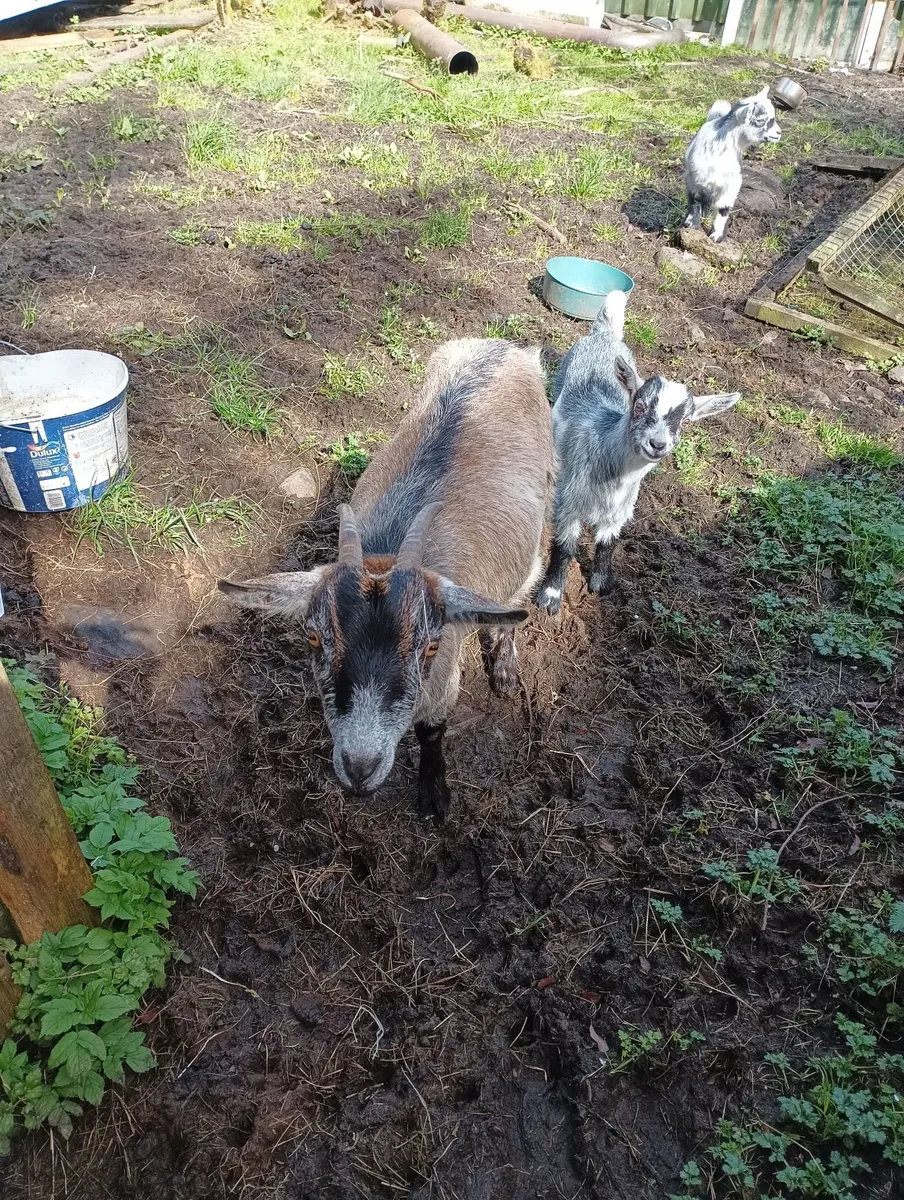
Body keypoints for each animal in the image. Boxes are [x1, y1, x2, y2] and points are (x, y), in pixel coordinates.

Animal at [219, 339, 554, 820]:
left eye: (430, 645)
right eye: (314, 638)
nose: (360, 768)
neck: (390, 549)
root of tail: (506, 346)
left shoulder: (442, 677)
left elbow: (432, 731)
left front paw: (433, 795)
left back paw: (505, 667)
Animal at [536, 291, 739, 615]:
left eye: (685, 422)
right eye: (640, 406)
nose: (658, 444)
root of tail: (605, 334)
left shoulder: (620, 511)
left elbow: (607, 543)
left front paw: (601, 586)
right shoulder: (569, 501)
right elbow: (564, 547)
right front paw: (550, 597)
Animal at [684, 86, 781, 243]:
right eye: (764, 120)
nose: (779, 132)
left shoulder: (731, 185)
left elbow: (723, 208)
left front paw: (716, 236)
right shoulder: (695, 178)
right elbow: (695, 199)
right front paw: (691, 224)